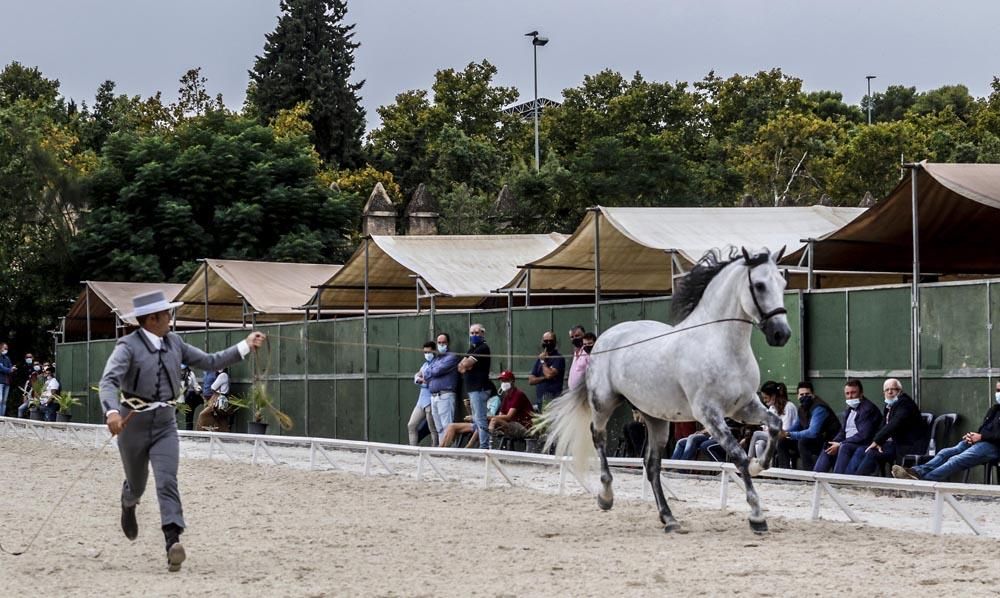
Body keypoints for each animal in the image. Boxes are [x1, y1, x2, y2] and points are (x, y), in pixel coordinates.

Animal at [548, 246, 788, 536]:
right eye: (760, 285)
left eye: (783, 283)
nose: (782, 334)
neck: (721, 345)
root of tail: (603, 339)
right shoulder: (709, 413)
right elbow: (738, 456)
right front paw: (756, 517)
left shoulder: (743, 407)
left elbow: (774, 425)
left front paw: (758, 465)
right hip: (604, 402)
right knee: (599, 437)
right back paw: (606, 497)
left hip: (656, 418)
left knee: (651, 465)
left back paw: (669, 518)